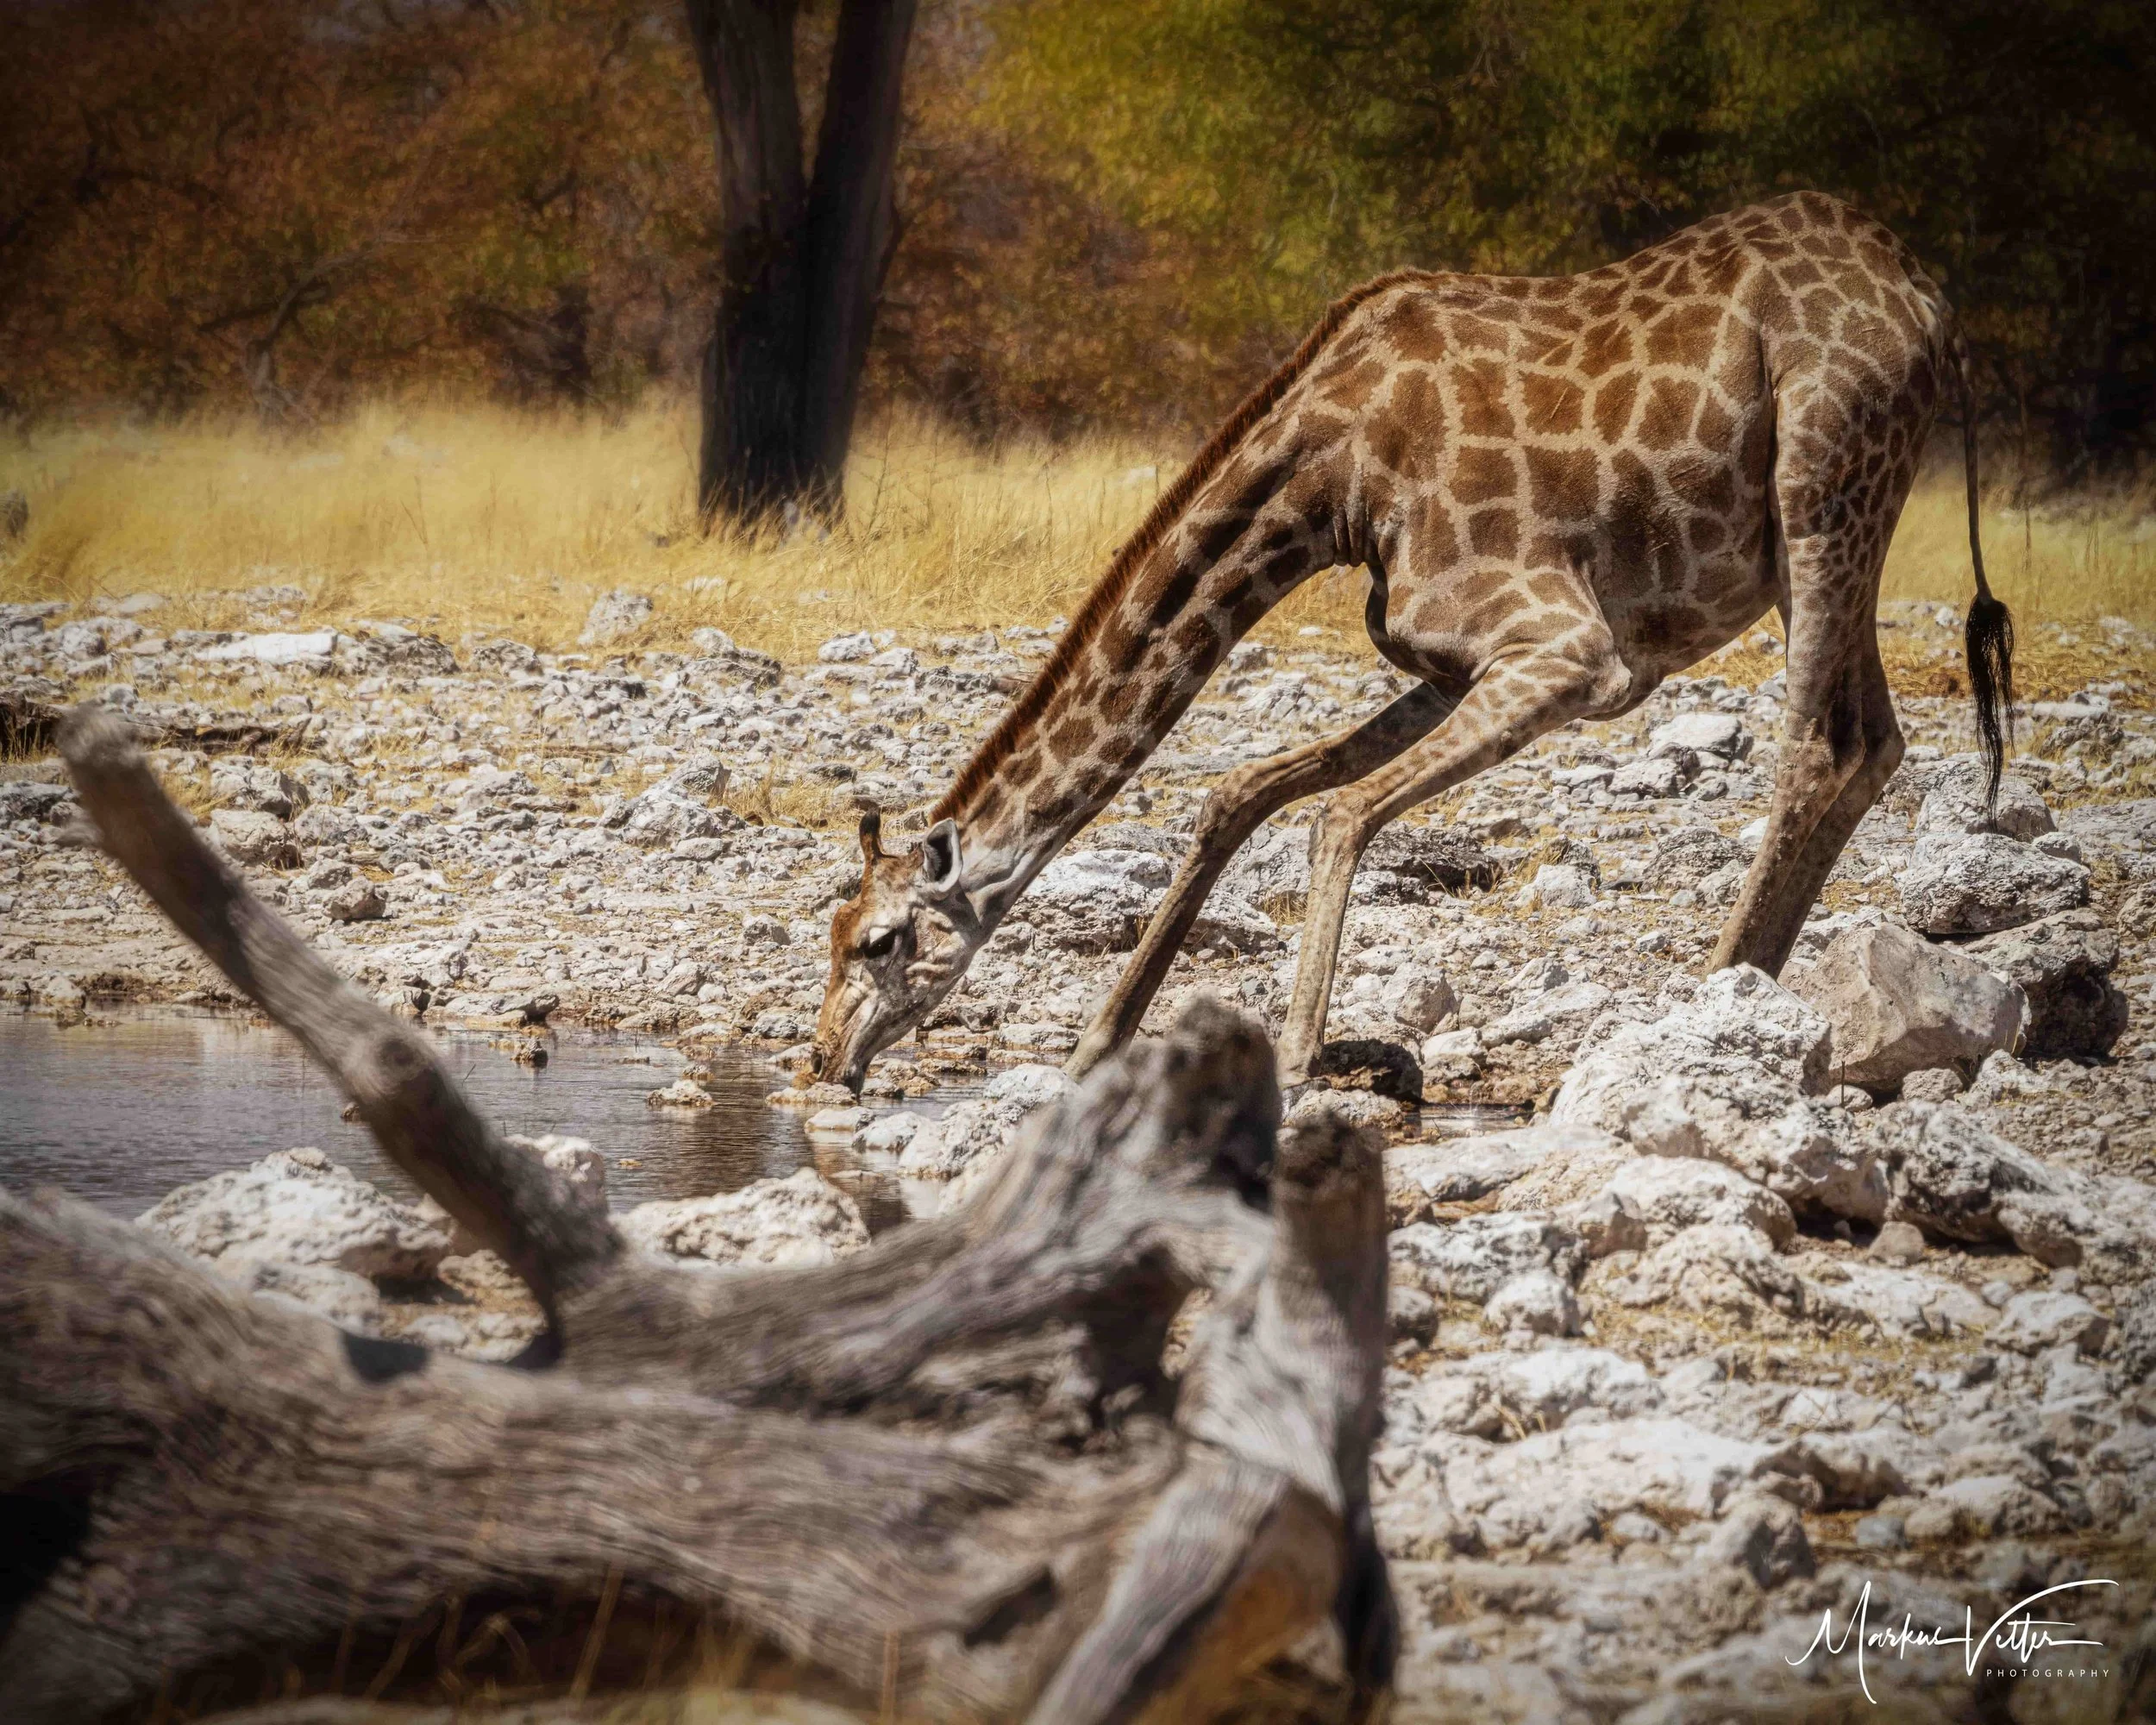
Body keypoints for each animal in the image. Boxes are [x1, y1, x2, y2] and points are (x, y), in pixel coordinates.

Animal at [813, 191, 2013, 1094]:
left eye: (880, 940)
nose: (822, 1058)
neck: (1328, 478)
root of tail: (1932, 302)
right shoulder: (1442, 662)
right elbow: (1241, 792)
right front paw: (1099, 1040)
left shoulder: (1569, 650)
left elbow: (1338, 813)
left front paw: (1298, 1054)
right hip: (1829, 528)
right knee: (1872, 741)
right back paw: (1751, 995)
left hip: (1821, 483)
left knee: (1815, 743)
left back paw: (1710, 1007)